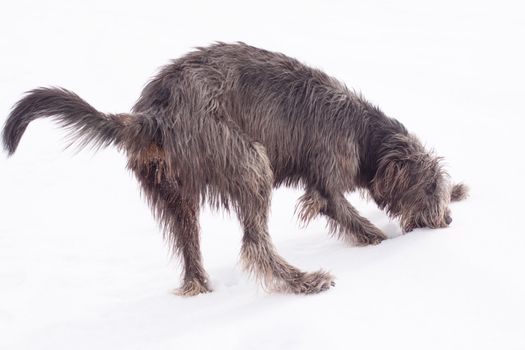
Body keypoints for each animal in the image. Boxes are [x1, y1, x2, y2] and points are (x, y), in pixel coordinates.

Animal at [0, 42, 466, 296]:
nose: (446, 221)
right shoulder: (327, 180)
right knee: (255, 244)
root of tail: (154, 114)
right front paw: (384, 244)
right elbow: (350, 216)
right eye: (428, 187)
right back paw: (301, 281)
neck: (364, 134)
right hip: (248, 160)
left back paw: (200, 288)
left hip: (178, 194)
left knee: (191, 254)